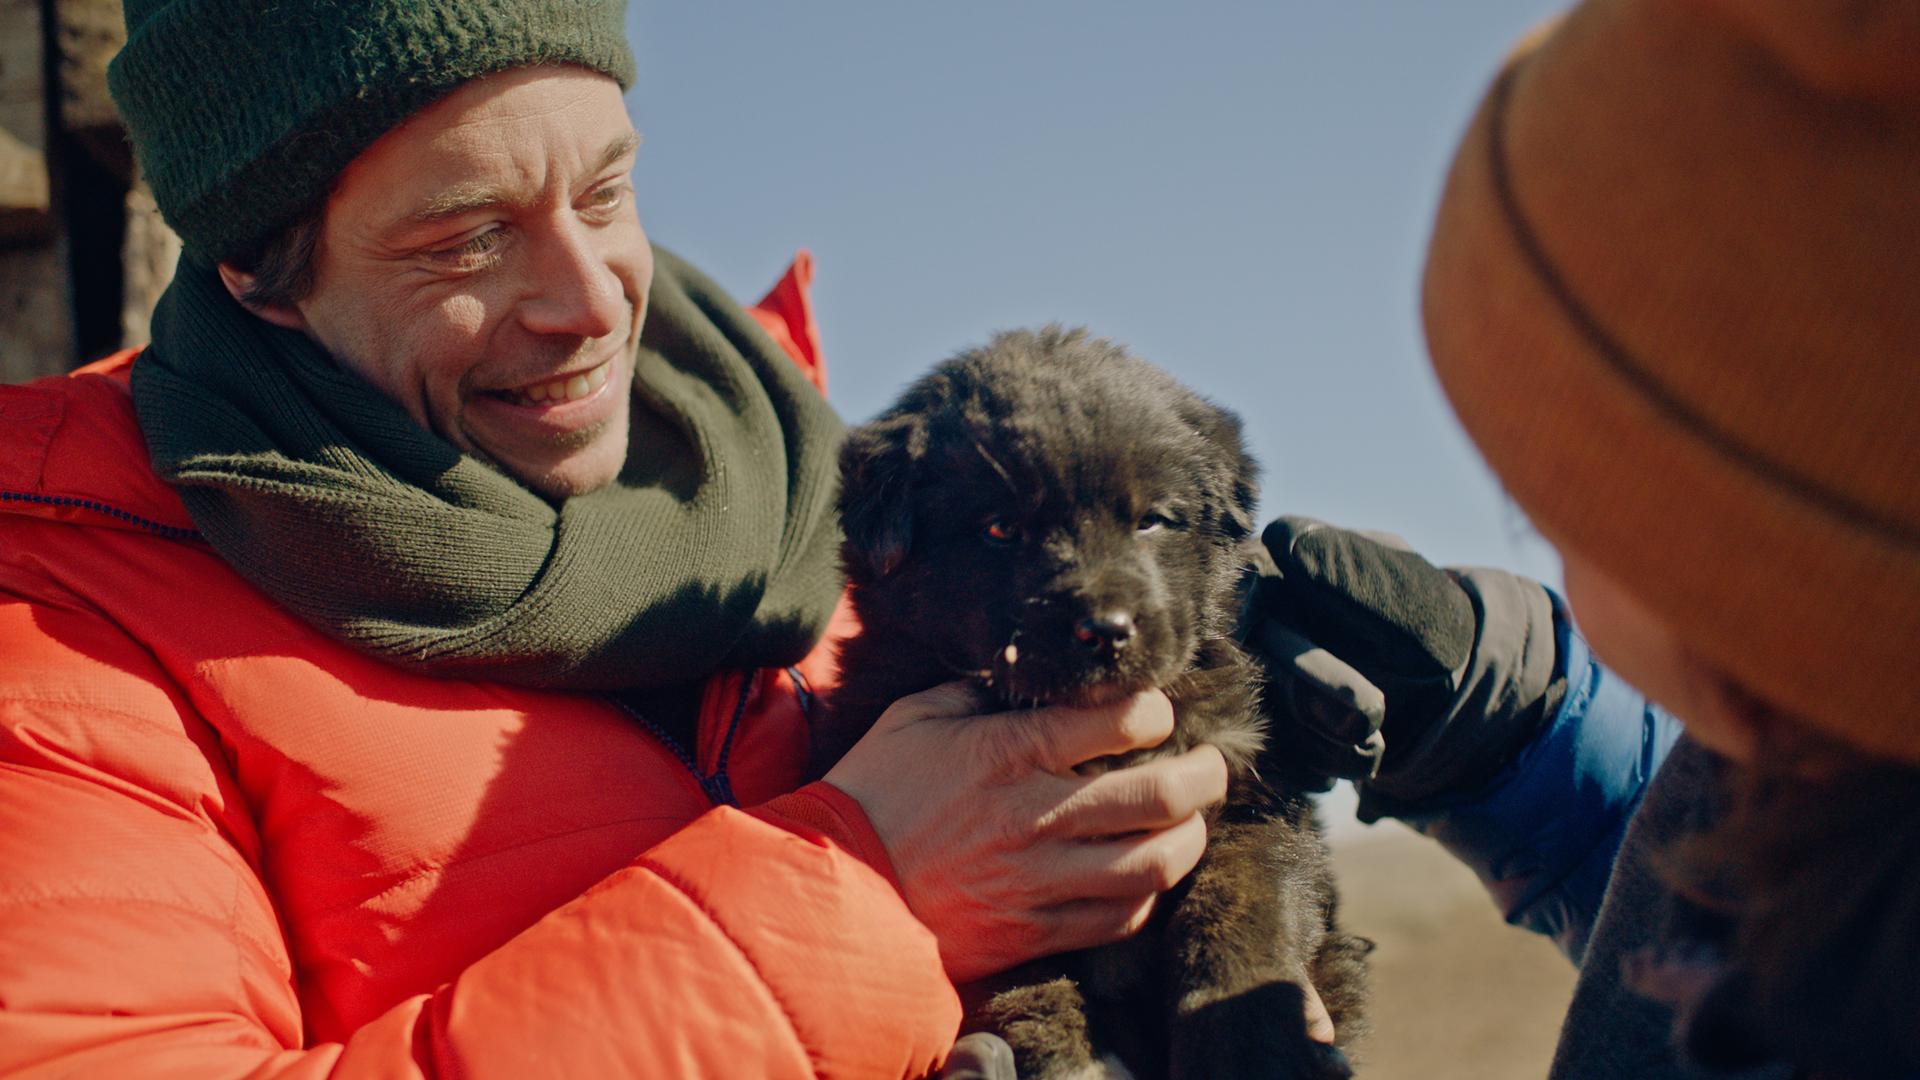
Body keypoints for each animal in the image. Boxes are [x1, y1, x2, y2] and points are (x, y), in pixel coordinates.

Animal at [817, 328, 1374, 1076]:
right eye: (1001, 529)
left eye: (1152, 521)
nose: (1106, 630)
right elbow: (1021, 977)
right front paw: (1066, 1054)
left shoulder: (1252, 792)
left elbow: (1239, 910)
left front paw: (1248, 1042)